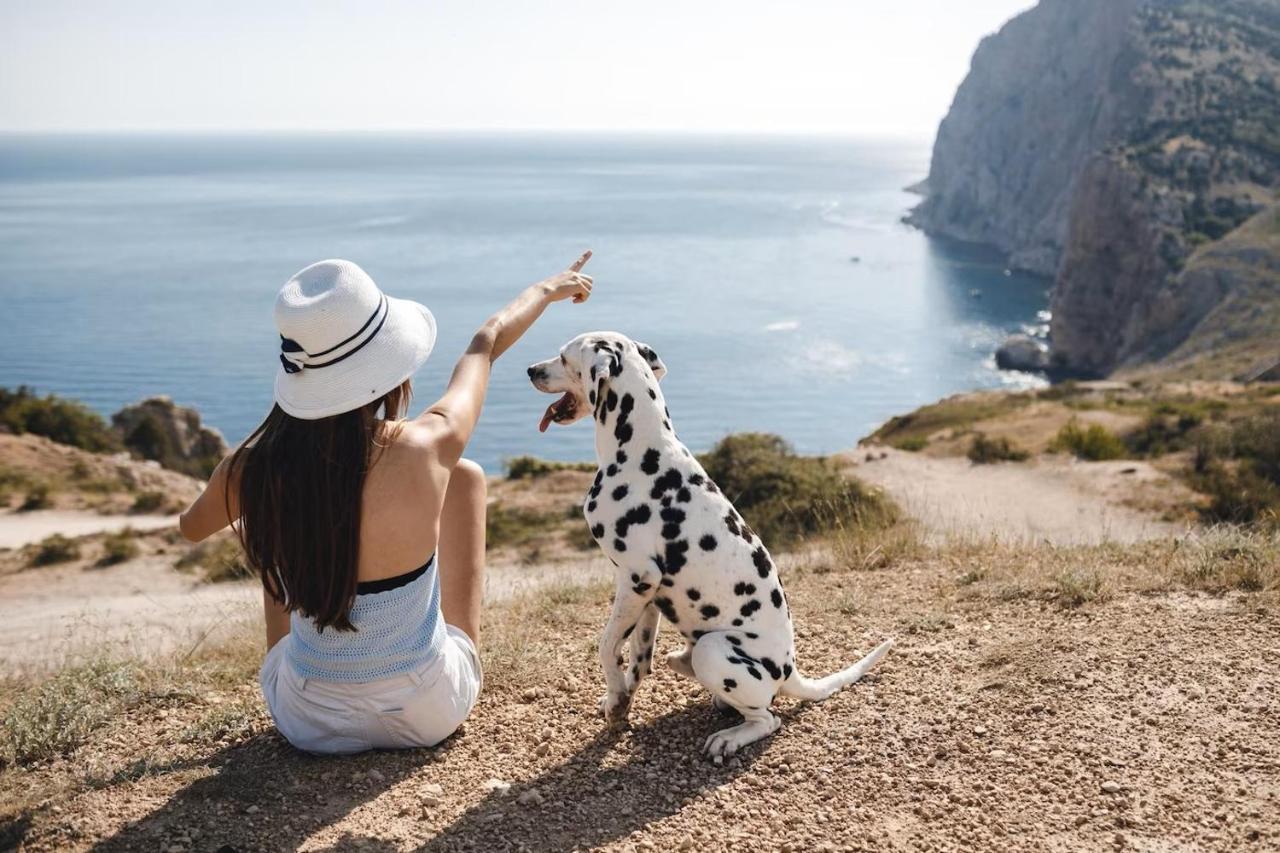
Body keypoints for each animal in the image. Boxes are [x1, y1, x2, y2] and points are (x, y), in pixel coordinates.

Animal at [524, 327, 896, 753]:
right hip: (688, 647)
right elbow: (637, 655)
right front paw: (621, 700)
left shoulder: (636, 579)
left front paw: (616, 694)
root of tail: (790, 671)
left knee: (767, 719)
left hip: (711, 650)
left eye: (564, 357)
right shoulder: (647, 595)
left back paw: (730, 738)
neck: (641, 451)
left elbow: (606, 646)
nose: (530, 370)